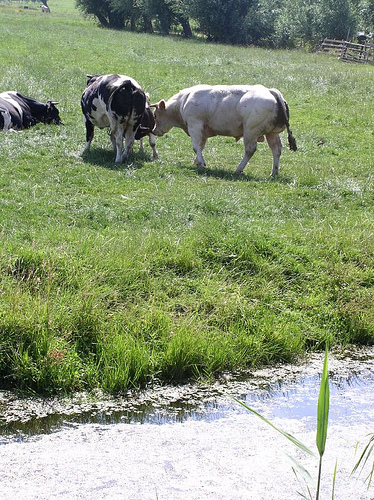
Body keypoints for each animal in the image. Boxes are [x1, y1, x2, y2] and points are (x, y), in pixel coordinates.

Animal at [153, 85, 298, 178]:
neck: (182, 102)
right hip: (271, 134)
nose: (154, 131)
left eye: (155, 115)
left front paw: (201, 163)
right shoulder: (203, 131)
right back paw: (274, 173)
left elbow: (196, 146)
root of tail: (271, 91)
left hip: (250, 132)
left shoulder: (195, 125)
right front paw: (197, 162)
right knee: (276, 150)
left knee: (250, 150)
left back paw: (238, 169)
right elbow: (201, 146)